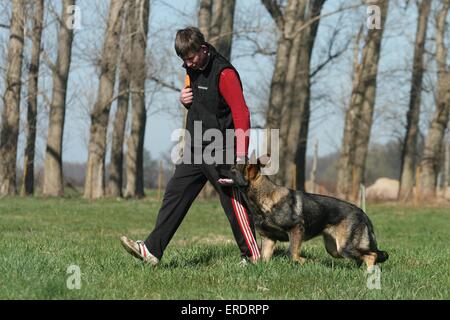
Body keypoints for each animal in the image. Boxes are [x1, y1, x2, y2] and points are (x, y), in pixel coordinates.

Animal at [217, 156, 386, 268]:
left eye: (233, 169)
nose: (217, 165)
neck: (264, 199)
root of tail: (362, 213)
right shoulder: (269, 238)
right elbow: (263, 259)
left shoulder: (296, 229)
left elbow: (292, 254)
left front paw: (306, 261)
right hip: (334, 249)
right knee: (363, 256)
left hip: (345, 247)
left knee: (372, 255)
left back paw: (369, 273)